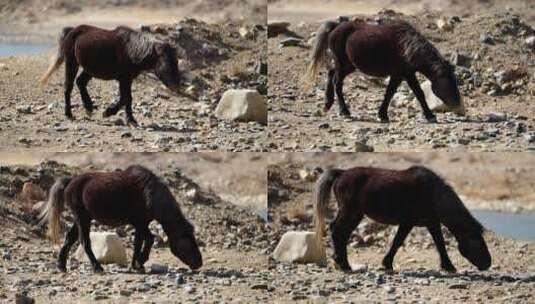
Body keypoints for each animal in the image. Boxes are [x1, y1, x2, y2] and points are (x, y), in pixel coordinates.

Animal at [37, 165, 201, 272]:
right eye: (188, 239)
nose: (199, 263)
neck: (150, 194)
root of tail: (71, 181)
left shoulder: (141, 224)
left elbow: (143, 241)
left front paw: (139, 263)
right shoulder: (140, 223)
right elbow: (144, 241)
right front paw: (138, 263)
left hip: (82, 218)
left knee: (70, 238)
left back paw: (61, 265)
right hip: (82, 218)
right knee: (84, 241)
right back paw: (97, 267)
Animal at [40, 24, 186, 126]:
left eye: (176, 61)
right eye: (166, 63)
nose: (177, 86)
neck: (133, 51)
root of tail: (71, 30)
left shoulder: (127, 79)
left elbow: (125, 98)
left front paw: (120, 116)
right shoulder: (124, 79)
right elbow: (126, 98)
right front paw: (116, 115)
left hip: (89, 69)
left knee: (80, 82)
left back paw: (89, 108)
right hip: (72, 63)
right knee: (68, 87)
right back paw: (69, 114)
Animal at [308, 19, 466, 122]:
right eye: (448, 82)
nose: (459, 107)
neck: (407, 47)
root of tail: (336, 27)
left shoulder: (401, 75)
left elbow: (391, 93)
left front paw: (382, 114)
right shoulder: (405, 74)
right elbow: (417, 93)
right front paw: (430, 116)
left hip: (349, 65)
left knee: (331, 73)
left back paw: (328, 103)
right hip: (343, 64)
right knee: (337, 82)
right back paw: (344, 111)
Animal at [316, 166, 492, 274]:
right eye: (477, 240)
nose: (488, 263)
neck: (432, 194)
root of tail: (341, 173)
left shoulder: (432, 223)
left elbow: (440, 244)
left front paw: (448, 266)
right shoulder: (407, 223)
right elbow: (397, 242)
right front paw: (387, 264)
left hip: (354, 214)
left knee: (340, 232)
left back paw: (341, 263)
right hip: (351, 212)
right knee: (338, 232)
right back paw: (343, 264)